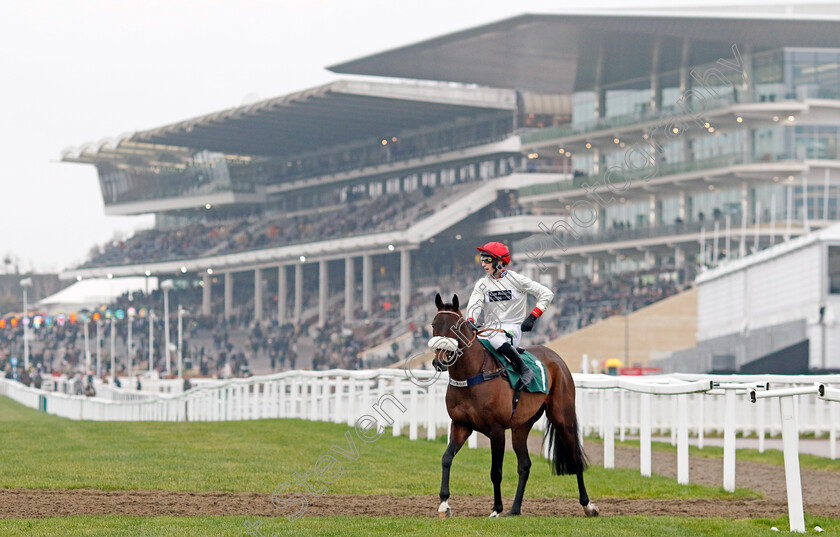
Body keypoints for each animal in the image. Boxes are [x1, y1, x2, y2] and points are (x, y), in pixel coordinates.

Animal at [430, 292, 600, 516]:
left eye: (454, 327)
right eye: (434, 324)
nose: (439, 361)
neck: (473, 374)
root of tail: (556, 357)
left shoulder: (496, 430)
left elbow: (496, 471)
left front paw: (496, 509)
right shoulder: (461, 425)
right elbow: (446, 458)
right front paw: (444, 504)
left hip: (562, 418)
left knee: (576, 458)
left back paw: (588, 505)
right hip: (522, 426)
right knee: (525, 465)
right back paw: (515, 509)